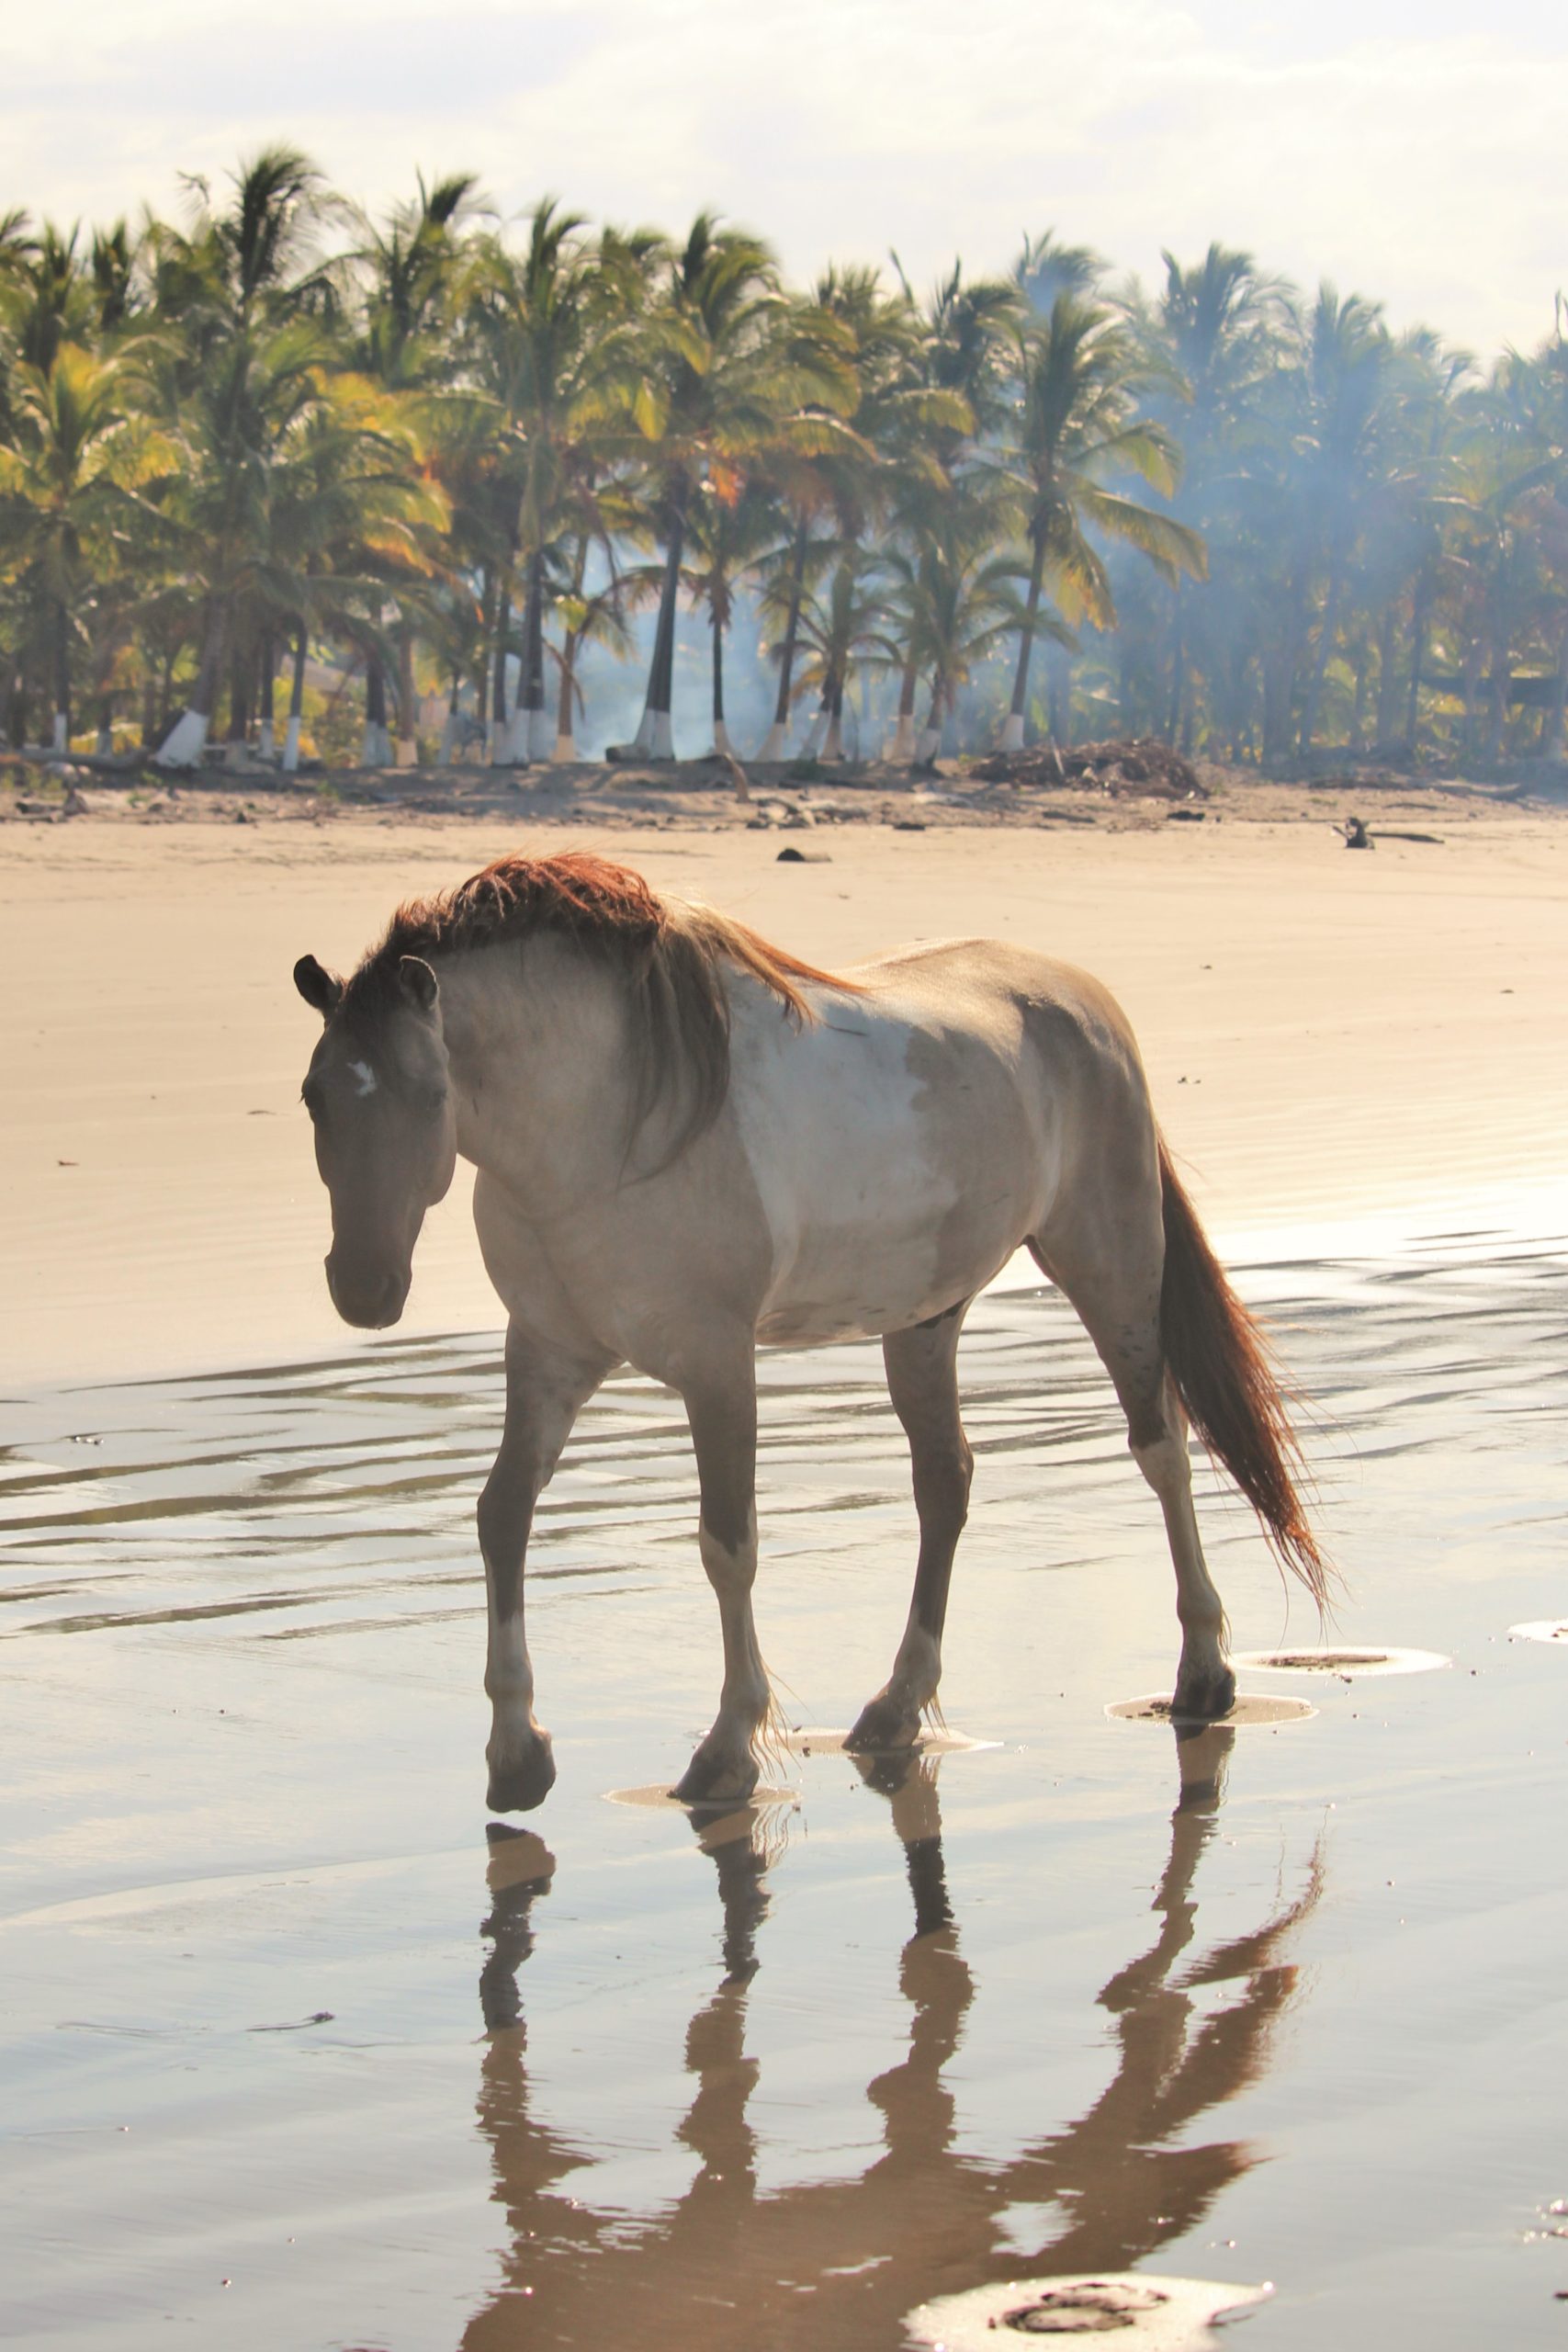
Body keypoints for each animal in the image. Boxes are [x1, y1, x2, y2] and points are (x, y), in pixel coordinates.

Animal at [293, 855, 1325, 1806]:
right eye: (314, 1097)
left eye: (431, 1097)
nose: (364, 1288)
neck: (602, 1127)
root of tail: (1085, 1000)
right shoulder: (549, 1352)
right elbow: (502, 1516)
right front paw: (516, 1752)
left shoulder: (716, 1365)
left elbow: (727, 1545)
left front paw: (726, 1750)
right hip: (925, 1319)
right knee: (945, 1483)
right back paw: (894, 1708)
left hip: (1109, 1266)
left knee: (1161, 1448)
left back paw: (1203, 1676)